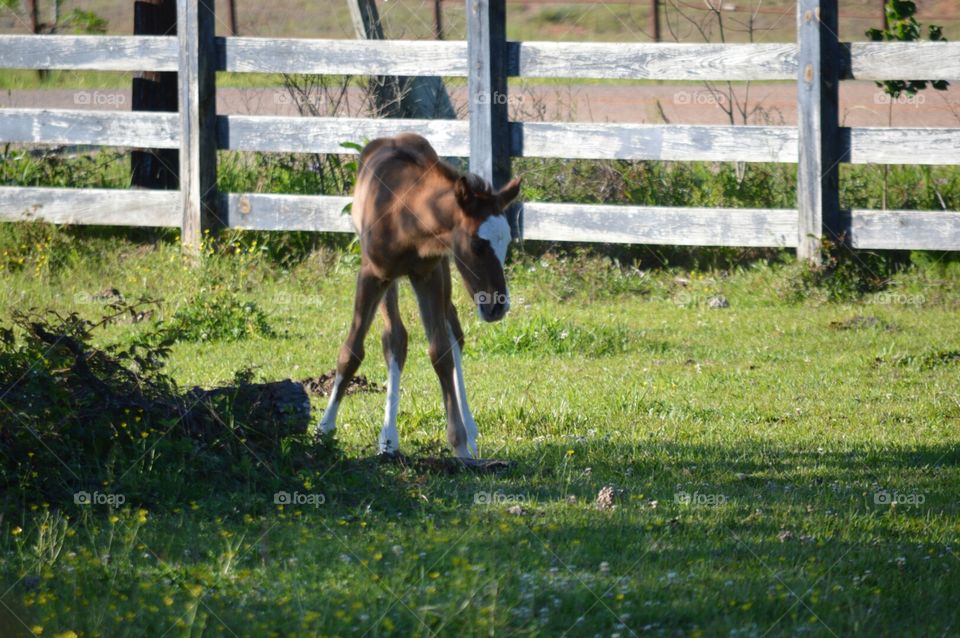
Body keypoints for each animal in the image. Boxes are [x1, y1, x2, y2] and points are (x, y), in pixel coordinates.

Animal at [315, 133, 521, 459]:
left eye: (508, 241)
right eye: (477, 244)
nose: (496, 307)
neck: (403, 213)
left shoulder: (428, 274)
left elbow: (441, 353)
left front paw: (460, 444)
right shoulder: (372, 274)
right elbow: (352, 350)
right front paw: (324, 429)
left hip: (443, 270)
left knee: (452, 330)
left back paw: (469, 430)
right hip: (391, 280)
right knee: (395, 338)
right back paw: (388, 437)